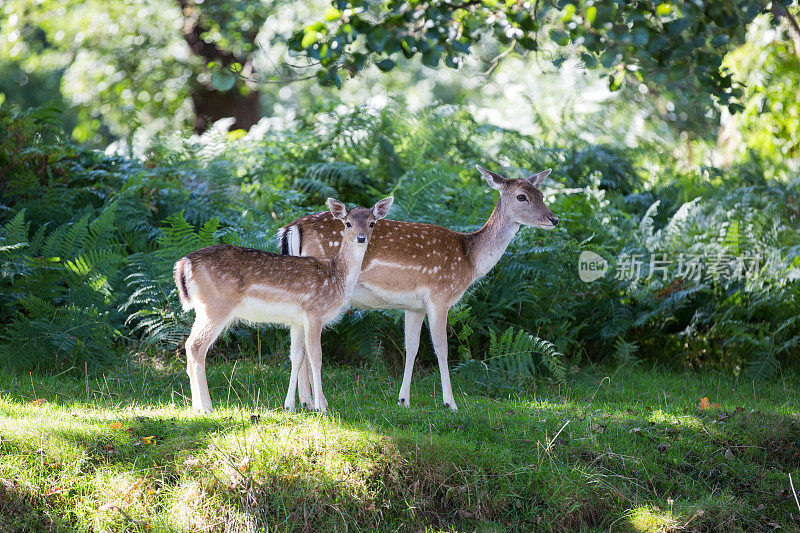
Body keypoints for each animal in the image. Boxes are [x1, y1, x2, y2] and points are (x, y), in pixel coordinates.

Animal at [178, 195, 396, 412]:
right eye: (348, 223)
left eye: (372, 223)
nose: (361, 238)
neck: (337, 277)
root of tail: (183, 265)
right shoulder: (314, 312)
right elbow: (316, 357)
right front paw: (321, 407)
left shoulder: (298, 320)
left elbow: (296, 356)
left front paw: (290, 405)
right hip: (217, 305)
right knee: (196, 346)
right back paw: (207, 407)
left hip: (203, 308)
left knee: (189, 345)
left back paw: (196, 407)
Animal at [276, 164, 556, 410]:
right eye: (522, 196)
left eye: (542, 194)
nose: (553, 219)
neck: (469, 260)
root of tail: (292, 227)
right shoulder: (440, 295)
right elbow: (441, 349)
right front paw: (450, 403)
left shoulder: (415, 306)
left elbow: (411, 347)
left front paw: (403, 400)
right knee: (304, 346)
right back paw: (309, 402)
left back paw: (304, 401)